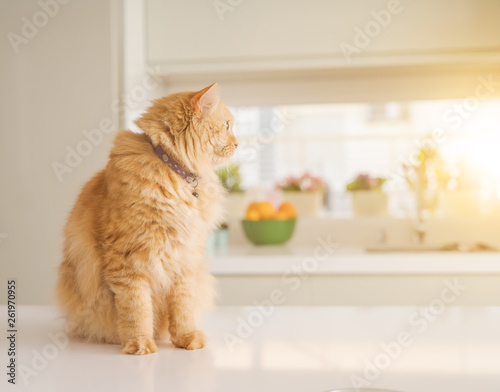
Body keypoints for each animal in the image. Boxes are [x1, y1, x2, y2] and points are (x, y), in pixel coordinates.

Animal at [56, 83, 236, 356]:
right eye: (227, 125)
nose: (238, 143)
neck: (174, 173)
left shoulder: (185, 260)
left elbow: (183, 309)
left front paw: (187, 338)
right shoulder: (128, 259)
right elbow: (136, 308)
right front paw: (139, 344)